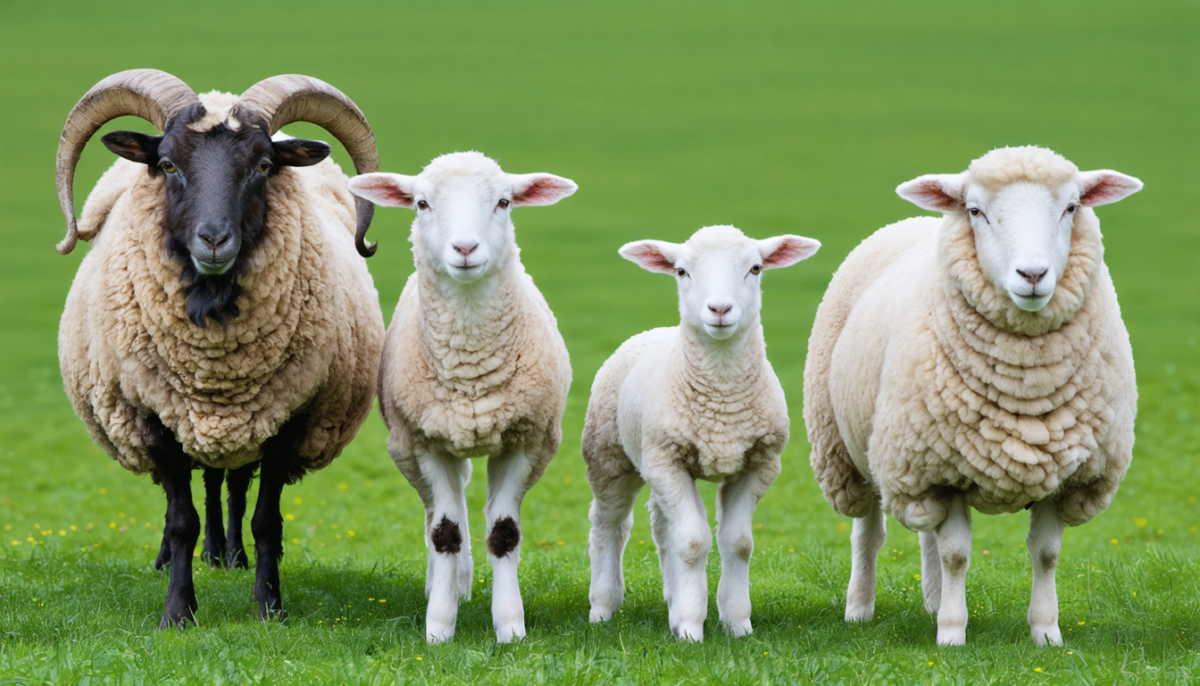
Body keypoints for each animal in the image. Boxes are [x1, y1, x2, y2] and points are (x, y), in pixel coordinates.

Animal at [54, 70, 385, 627]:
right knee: (199, 489)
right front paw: (177, 611)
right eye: (166, 164)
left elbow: (265, 519)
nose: (213, 240)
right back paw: (188, 557)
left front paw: (269, 606)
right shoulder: (155, 416)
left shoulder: (287, 416)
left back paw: (229, 556)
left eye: (264, 166)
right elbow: (181, 518)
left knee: (227, 484)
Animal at [347, 152, 576, 644]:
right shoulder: (425, 443)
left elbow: (505, 533)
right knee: (439, 513)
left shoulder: (529, 442)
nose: (466, 249)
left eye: (505, 202)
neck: (471, 368)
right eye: (421, 203)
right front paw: (439, 627)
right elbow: (445, 532)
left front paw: (510, 627)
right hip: (408, 448)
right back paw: (447, 584)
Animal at [582, 225, 821, 641]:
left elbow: (737, 543)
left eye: (756, 268)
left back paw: (671, 600)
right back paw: (603, 605)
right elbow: (693, 541)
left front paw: (736, 622)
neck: (722, 397)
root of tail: (655, 331)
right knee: (609, 525)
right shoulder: (668, 461)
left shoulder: (759, 464)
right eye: (681, 271)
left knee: (662, 528)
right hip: (611, 456)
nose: (720, 310)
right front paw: (692, 628)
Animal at [804, 146, 1142, 646]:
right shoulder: (939, 471)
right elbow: (957, 555)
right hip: (855, 453)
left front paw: (1046, 632)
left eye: (1071, 207)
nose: (1033, 274)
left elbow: (1045, 553)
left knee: (926, 534)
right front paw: (951, 634)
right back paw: (860, 608)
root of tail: (913, 220)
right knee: (868, 532)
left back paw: (931, 600)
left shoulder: (1062, 475)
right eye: (976, 211)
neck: (1025, 383)